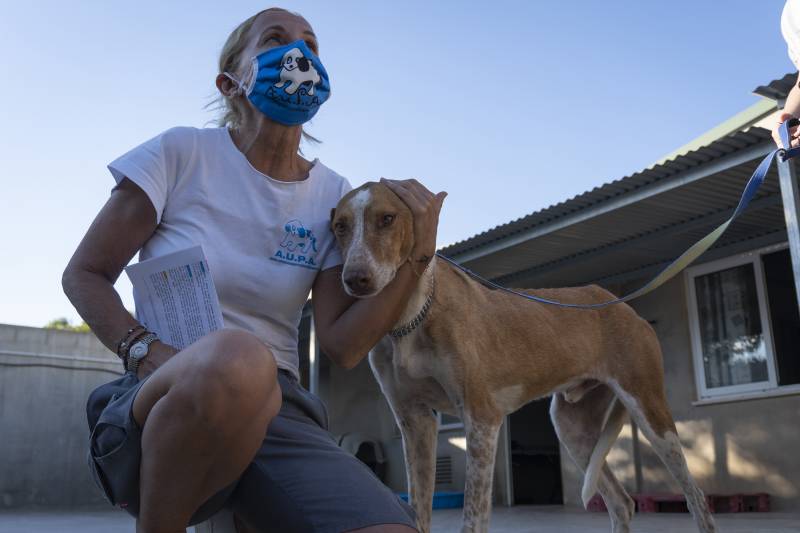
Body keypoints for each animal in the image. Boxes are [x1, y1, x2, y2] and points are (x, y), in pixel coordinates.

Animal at [332, 183, 720, 532]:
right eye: (340, 226)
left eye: (387, 218)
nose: (355, 279)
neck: (409, 319)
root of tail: (621, 304)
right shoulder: (415, 423)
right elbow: (419, 512)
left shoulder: (481, 420)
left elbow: (472, 519)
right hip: (573, 428)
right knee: (622, 503)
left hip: (651, 413)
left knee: (697, 498)